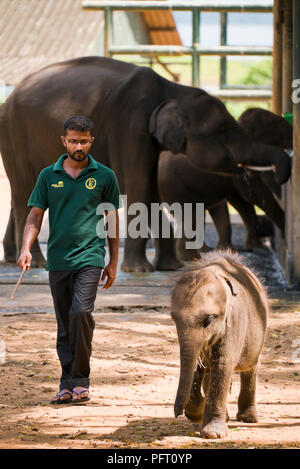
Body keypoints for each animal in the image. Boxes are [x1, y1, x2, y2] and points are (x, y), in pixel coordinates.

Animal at [0, 55, 290, 270]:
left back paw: (14, 258)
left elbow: (151, 188)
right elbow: (137, 184)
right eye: (221, 130)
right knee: (24, 191)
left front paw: (170, 268)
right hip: (14, 134)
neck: (171, 90)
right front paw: (139, 270)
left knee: (25, 193)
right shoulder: (130, 125)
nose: (282, 173)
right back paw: (35, 263)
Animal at [172, 250, 268, 436]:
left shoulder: (234, 321)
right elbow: (199, 365)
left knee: (250, 366)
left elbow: (223, 364)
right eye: (173, 318)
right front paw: (197, 414)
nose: (177, 414)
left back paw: (248, 418)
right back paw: (226, 418)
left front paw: (213, 434)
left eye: (209, 319)